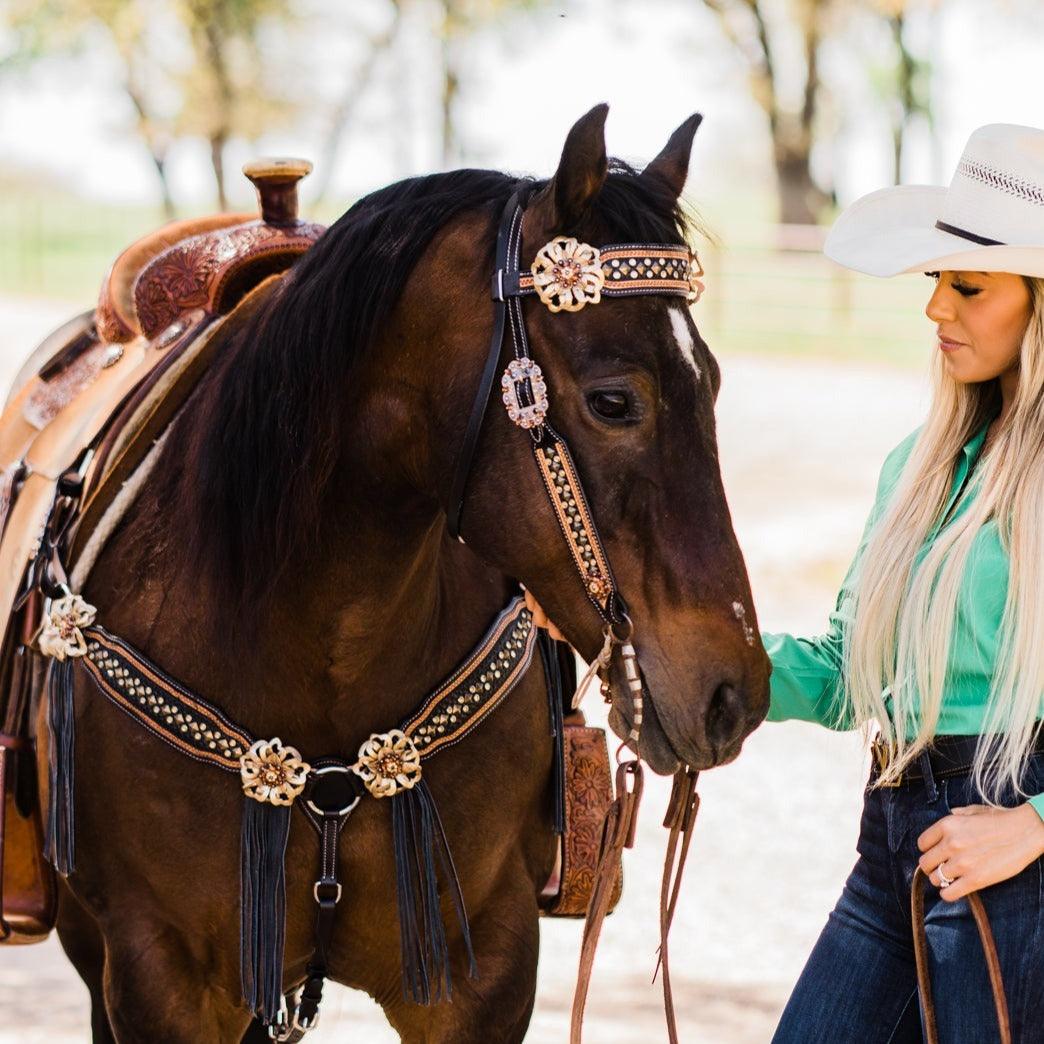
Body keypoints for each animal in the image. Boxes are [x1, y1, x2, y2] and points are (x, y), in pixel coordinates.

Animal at [42, 105, 768, 1044]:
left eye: (709, 382)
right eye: (614, 401)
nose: (733, 694)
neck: (320, 640)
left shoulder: (480, 975)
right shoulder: (160, 979)